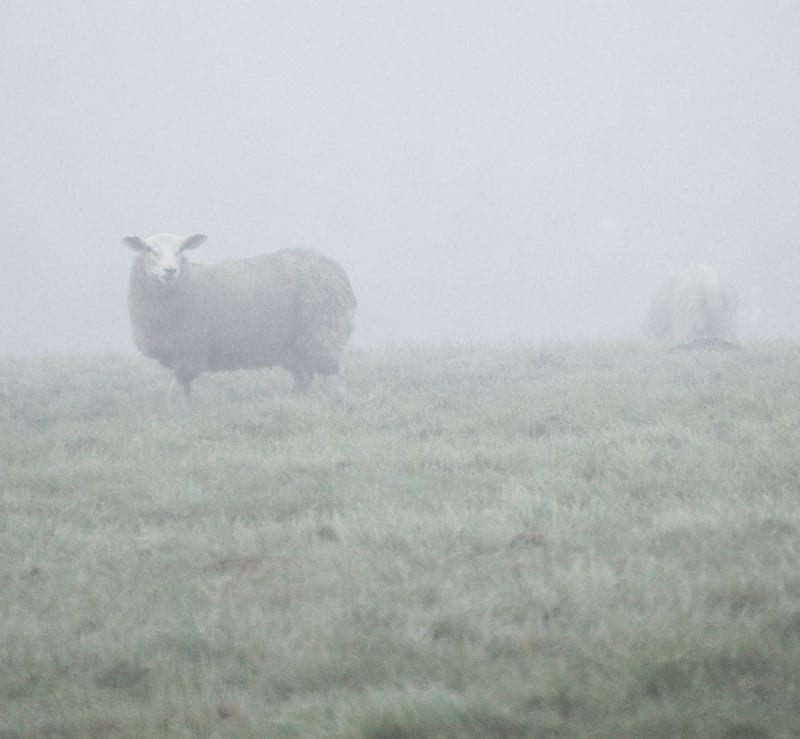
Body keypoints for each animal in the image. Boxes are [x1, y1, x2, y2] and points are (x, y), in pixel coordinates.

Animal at [122, 233, 356, 402]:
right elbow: (183, 389)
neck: (186, 283)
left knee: (334, 376)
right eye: (149, 249)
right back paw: (291, 403)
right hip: (292, 346)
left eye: (180, 250)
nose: (170, 270)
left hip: (324, 331)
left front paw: (176, 412)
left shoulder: (190, 350)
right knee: (303, 378)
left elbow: (175, 390)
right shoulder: (183, 355)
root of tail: (337, 271)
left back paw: (340, 405)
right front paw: (186, 412)